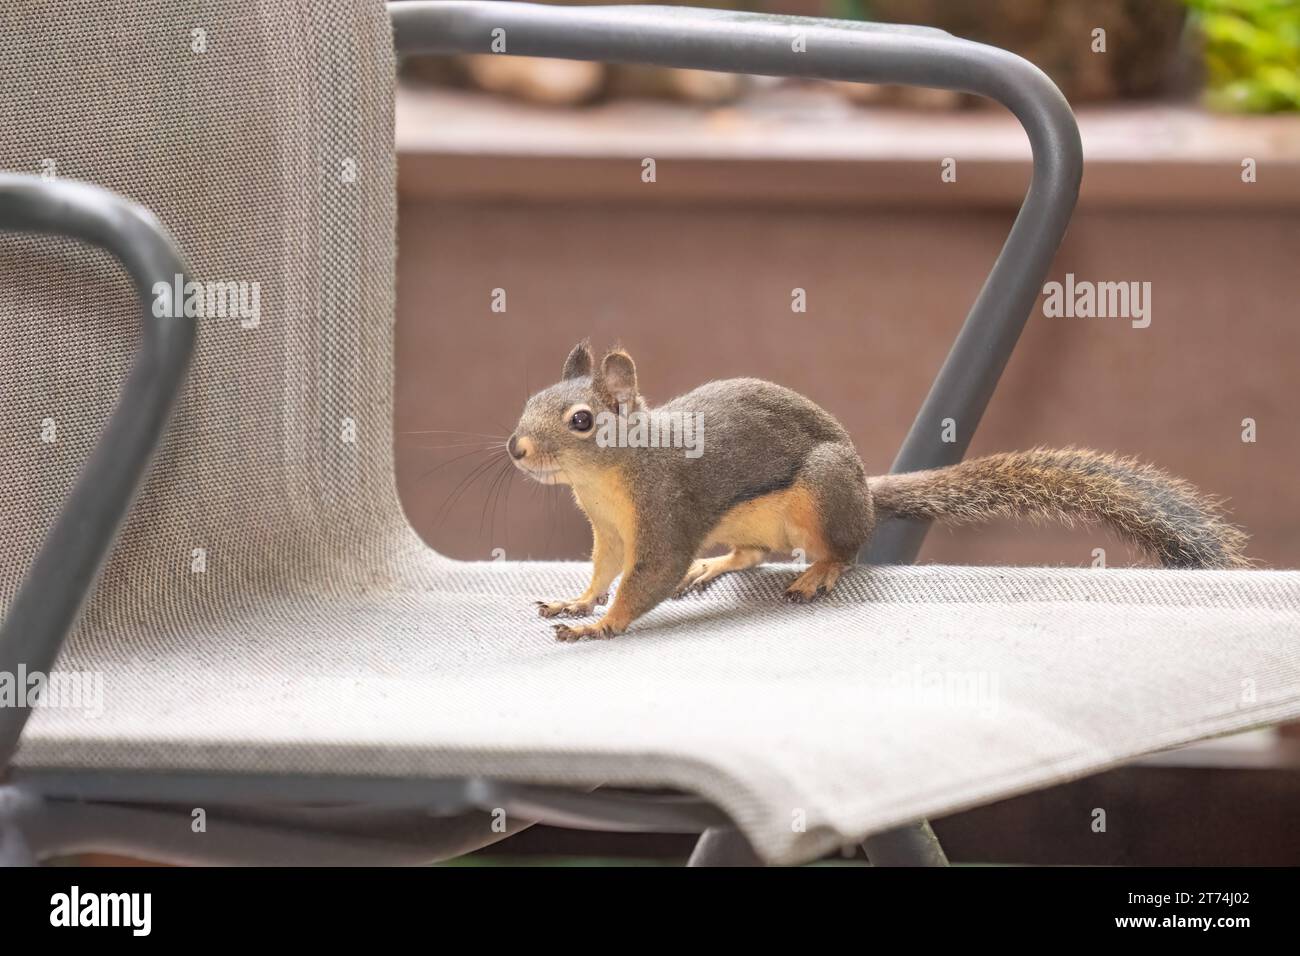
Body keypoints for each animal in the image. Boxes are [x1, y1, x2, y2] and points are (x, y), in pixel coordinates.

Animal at [507, 341, 1250, 642]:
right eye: (530, 400)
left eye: (581, 420)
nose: (516, 449)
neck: (608, 478)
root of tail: (865, 490)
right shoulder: (609, 530)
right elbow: (604, 569)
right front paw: (577, 600)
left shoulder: (665, 513)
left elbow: (646, 578)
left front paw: (600, 625)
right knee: (752, 554)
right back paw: (713, 566)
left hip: (821, 491)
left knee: (843, 549)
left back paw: (818, 572)